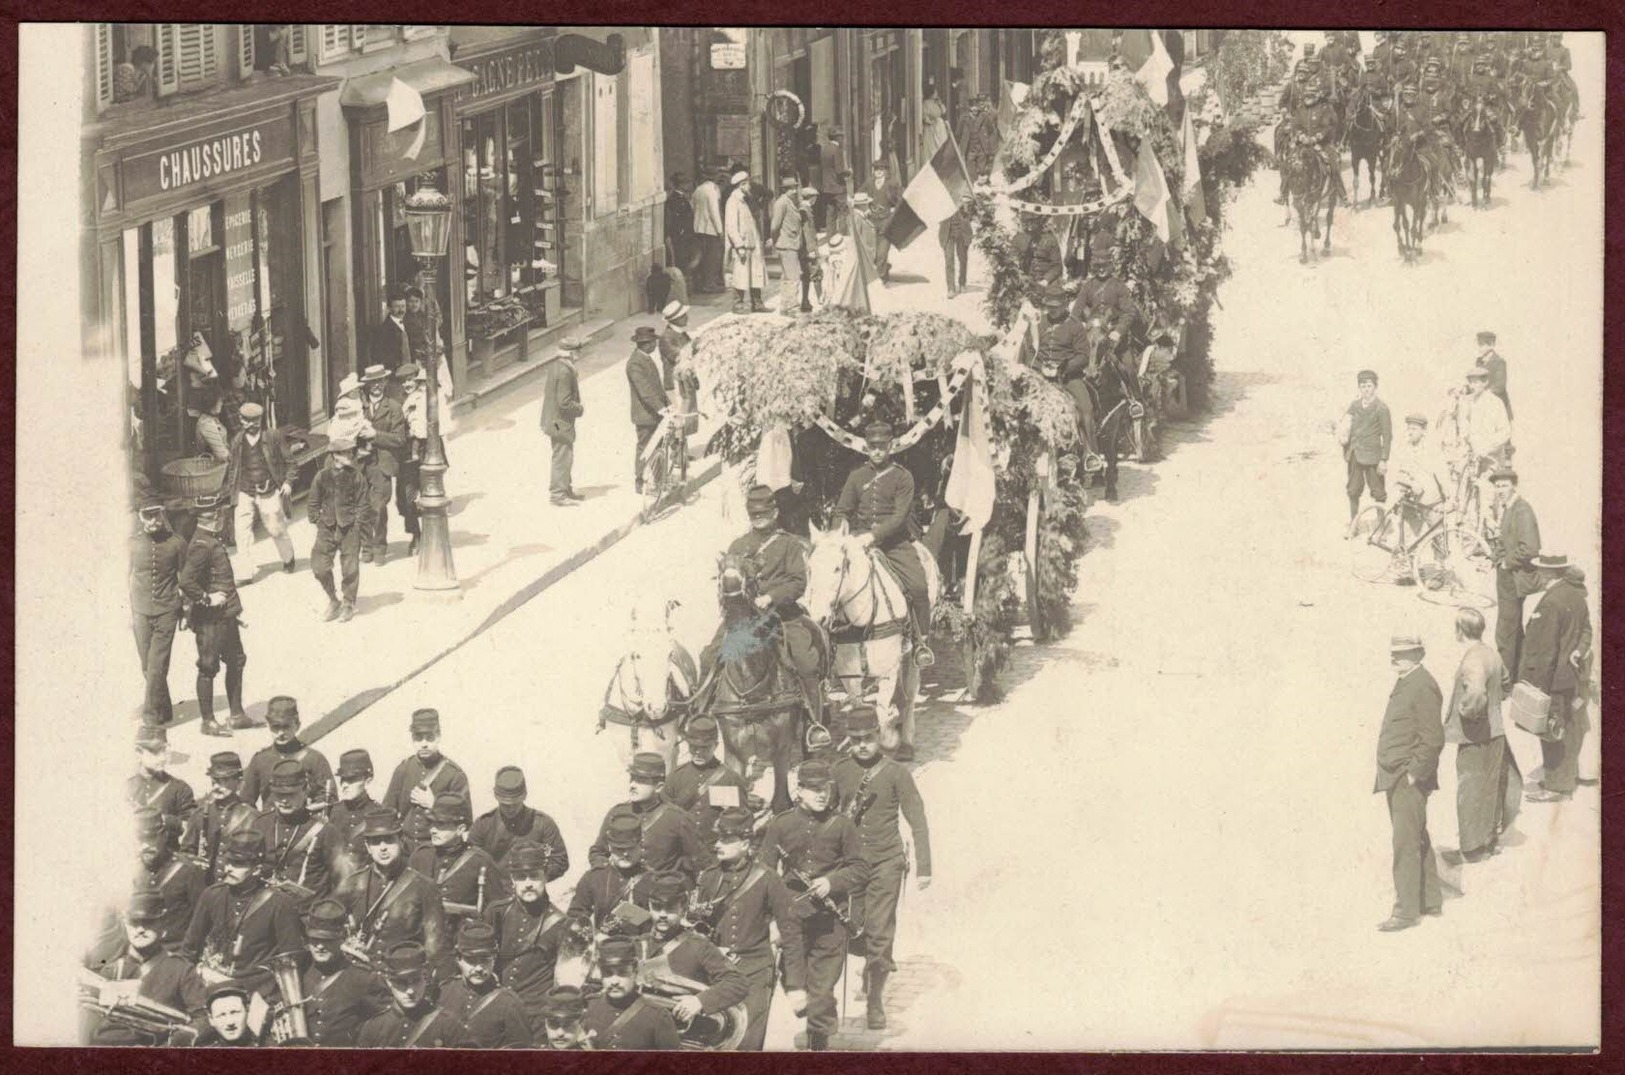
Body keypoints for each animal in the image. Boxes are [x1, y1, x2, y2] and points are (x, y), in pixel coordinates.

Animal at [598, 598, 698, 776]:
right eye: (636, 655)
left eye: (670, 654)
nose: (657, 707)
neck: (636, 716)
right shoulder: (624, 756)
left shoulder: (663, 752)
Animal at [692, 555, 812, 819]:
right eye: (720, 570)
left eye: (753, 572)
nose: (731, 583)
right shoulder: (734, 754)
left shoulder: (782, 748)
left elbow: (780, 803)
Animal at [799, 520, 942, 750]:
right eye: (810, 568)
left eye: (837, 568)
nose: (818, 617)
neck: (863, 619)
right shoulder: (849, 675)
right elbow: (861, 710)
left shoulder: (887, 671)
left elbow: (882, 718)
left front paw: (889, 738)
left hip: (912, 655)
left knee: (910, 696)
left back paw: (906, 738)